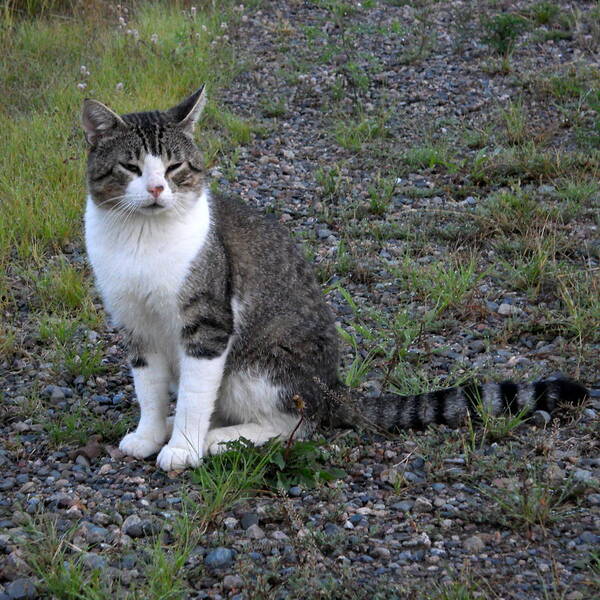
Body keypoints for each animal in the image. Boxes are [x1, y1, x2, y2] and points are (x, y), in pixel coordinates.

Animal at [82, 85, 588, 468]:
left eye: (174, 167)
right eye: (131, 166)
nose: (156, 188)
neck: (142, 240)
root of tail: (333, 387)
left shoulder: (208, 323)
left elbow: (193, 393)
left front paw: (184, 448)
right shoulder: (134, 321)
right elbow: (148, 388)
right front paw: (150, 435)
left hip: (260, 363)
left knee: (299, 421)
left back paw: (217, 437)